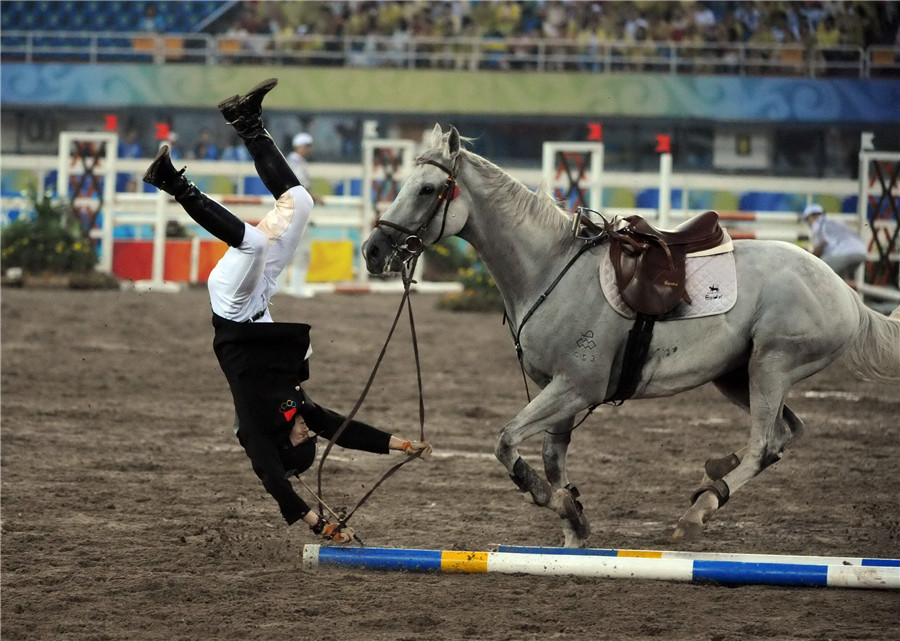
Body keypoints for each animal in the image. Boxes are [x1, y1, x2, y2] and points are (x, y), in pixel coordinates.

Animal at [362, 124, 896, 544]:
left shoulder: (576, 387)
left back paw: (698, 511)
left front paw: (554, 502)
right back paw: (715, 472)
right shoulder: (560, 392)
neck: (549, 269)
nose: (372, 250)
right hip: (736, 375)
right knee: (784, 435)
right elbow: (551, 459)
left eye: (428, 189)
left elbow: (505, 441)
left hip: (771, 366)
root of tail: (845, 293)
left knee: (765, 442)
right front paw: (572, 521)